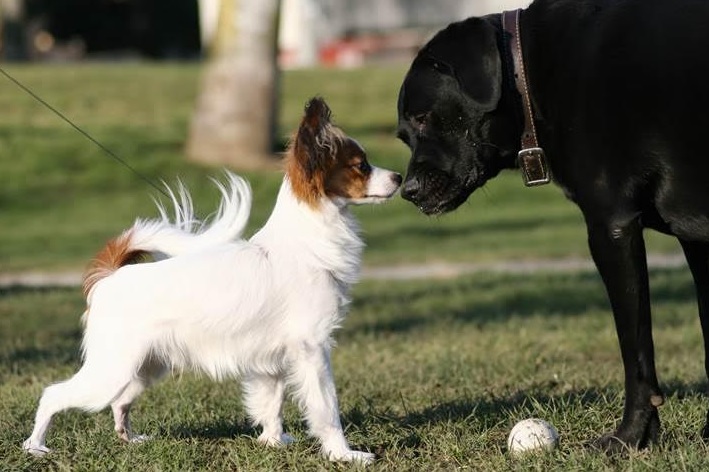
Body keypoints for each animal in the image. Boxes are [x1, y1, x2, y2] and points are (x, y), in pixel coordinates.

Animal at [22, 97, 402, 464]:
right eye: (361, 166)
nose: (399, 177)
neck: (304, 244)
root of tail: (113, 275)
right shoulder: (313, 349)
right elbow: (327, 409)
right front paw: (344, 454)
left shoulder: (273, 361)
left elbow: (272, 403)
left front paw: (273, 442)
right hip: (110, 370)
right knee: (53, 395)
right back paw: (35, 446)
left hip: (143, 368)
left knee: (120, 402)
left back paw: (129, 438)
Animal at [402, 0, 709, 454]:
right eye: (403, 134)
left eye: (423, 118)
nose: (408, 191)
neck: (529, 73)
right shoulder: (697, 241)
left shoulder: (610, 228)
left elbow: (635, 349)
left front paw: (630, 437)